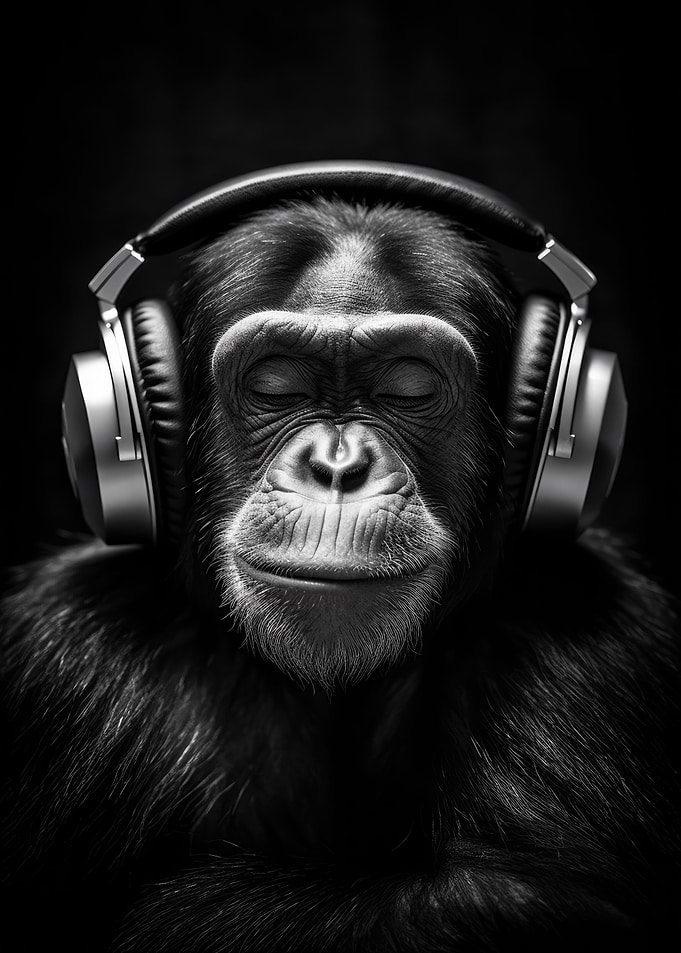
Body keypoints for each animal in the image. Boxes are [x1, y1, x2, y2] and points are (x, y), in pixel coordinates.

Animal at [1, 195, 678, 952]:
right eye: (277, 384)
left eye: (407, 387)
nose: (337, 465)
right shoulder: (61, 651)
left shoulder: (593, 637)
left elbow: (528, 891)